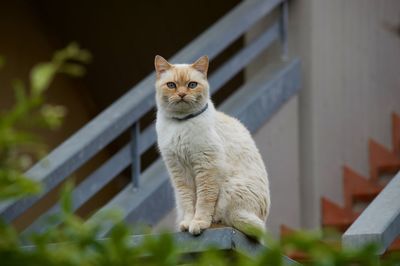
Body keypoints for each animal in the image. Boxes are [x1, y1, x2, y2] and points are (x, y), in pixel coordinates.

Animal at [155, 54, 270, 237]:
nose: (181, 94)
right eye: (171, 85)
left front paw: (198, 223)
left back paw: (209, 225)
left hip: (230, 190)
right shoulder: (179, 171)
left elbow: (203, 202)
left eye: (192, 85)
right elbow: (189, 202)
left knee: (226, 220)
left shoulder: (206, 167)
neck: (181, 123)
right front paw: (187, 223)